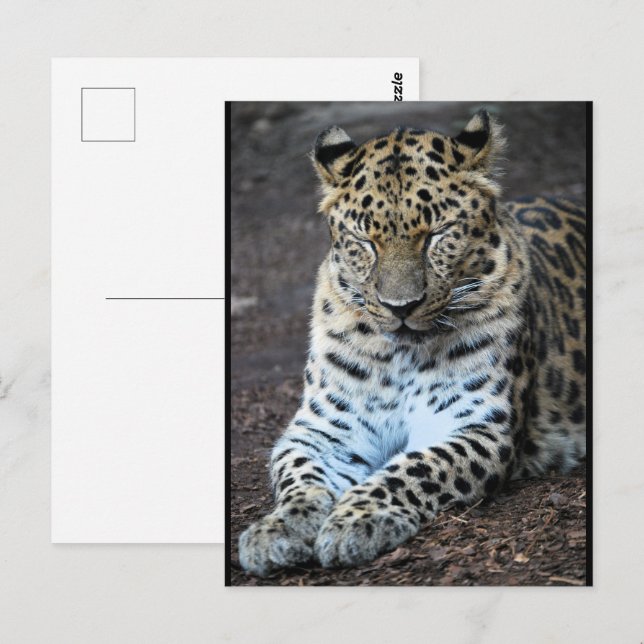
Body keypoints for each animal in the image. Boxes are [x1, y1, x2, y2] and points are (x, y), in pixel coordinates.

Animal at [238, 109, 586, 577]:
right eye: (366, 242)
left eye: (436, 235)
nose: (400, 306)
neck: (399, 355)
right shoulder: (323, 429)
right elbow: (299, 476)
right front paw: (277, 529)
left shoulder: (477, 424)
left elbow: (413, 469)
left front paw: (358, 519)